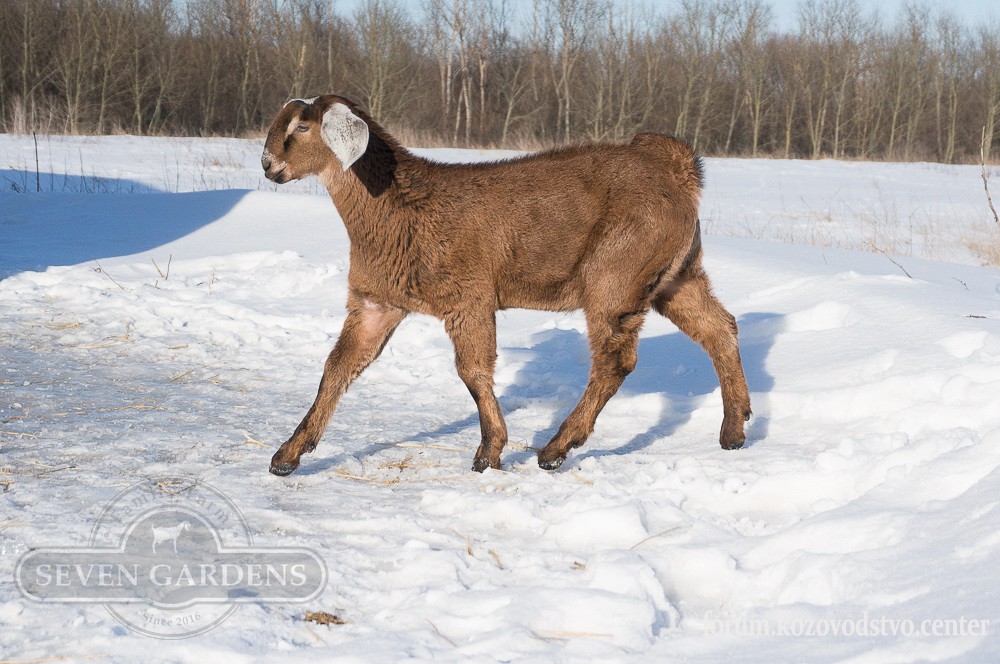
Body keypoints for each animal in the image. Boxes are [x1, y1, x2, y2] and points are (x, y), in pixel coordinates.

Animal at [262, 94, 751, 476]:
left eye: (302, 126)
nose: (268, 165)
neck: (396, 208)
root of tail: (677, 168)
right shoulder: (377, 301)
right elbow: (337, 367)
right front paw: (287, 455)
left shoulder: (468, 295)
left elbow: (472, 371)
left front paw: (489, 452)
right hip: (676, 273)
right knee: (719, 327)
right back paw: (735, 428)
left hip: (615, 272)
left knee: (616, 361)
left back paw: (556, 449)